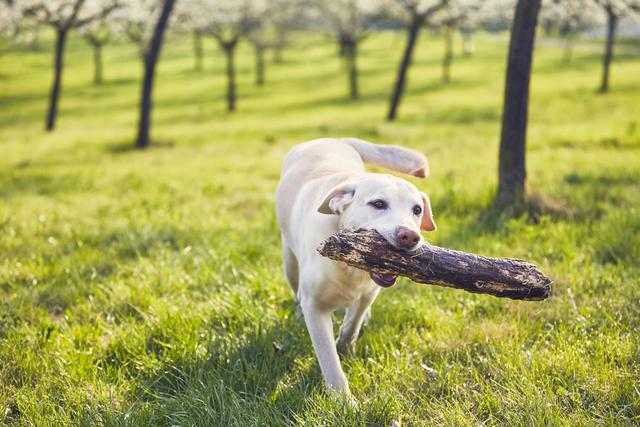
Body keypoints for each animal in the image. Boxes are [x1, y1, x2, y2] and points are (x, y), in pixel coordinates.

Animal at [276, 139, 436, 396]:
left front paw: (345, 345)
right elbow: (329, 360)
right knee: (295, 290)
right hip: (289, 262)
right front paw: (342, 400)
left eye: (417, 210)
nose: (410, 236)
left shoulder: (368, 293)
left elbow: (352, 324)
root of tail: (334, 139)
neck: (351, 268)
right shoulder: (315, 307)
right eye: (378, 204)